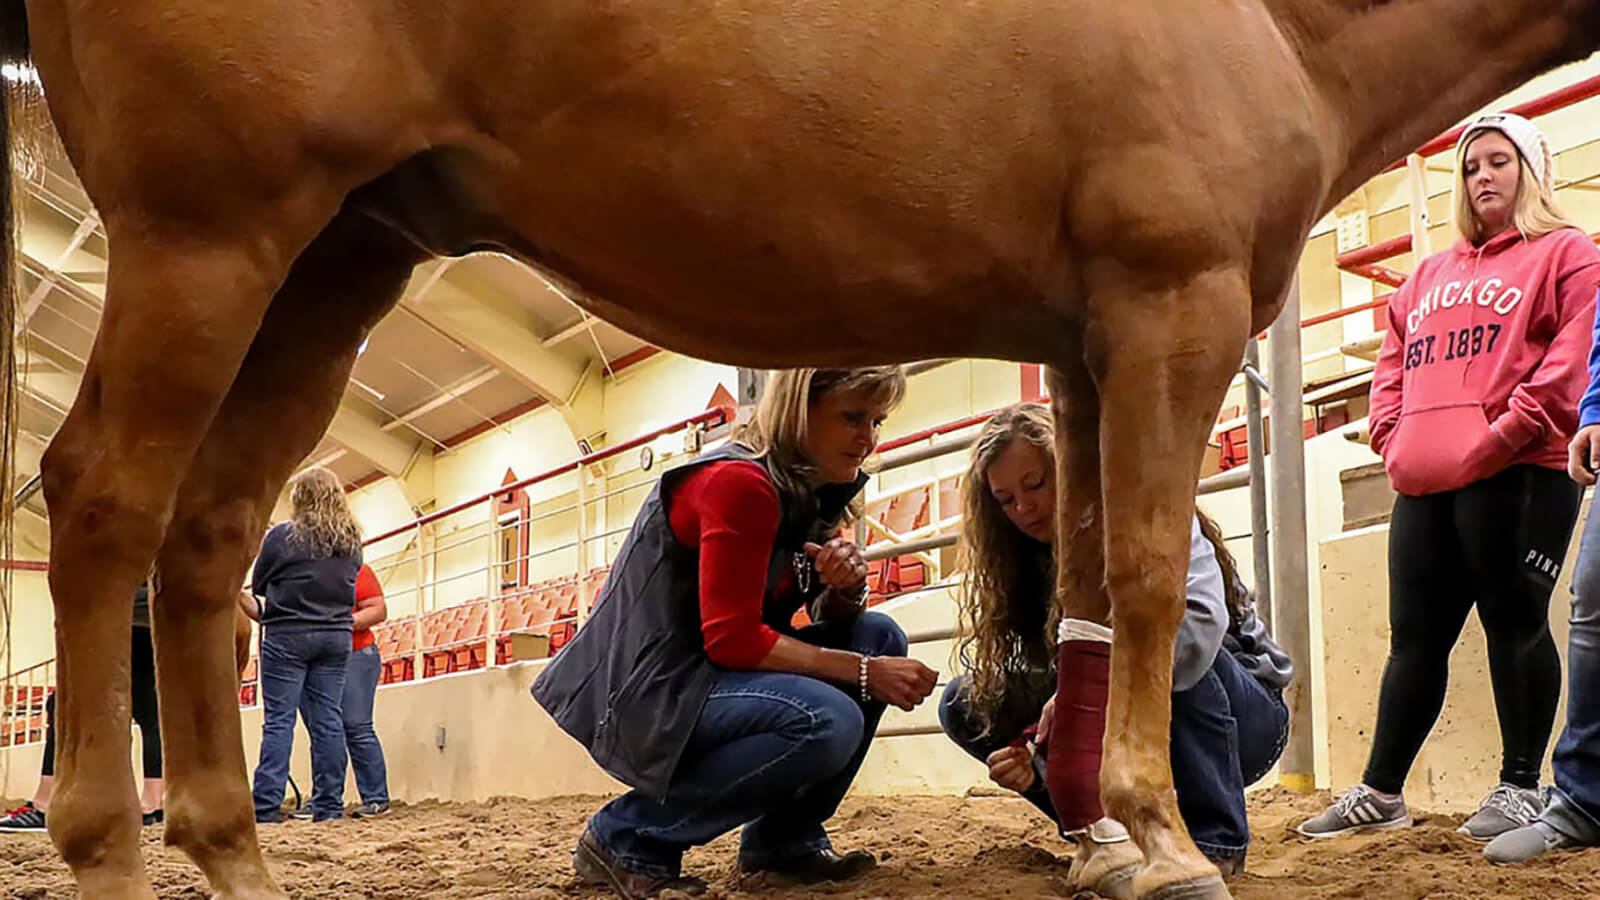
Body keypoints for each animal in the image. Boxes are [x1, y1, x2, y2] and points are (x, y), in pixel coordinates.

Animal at [0, 1, 1593, 896]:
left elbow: (1084, 593)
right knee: (104, 500)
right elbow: (1146, 574)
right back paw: (109, 853)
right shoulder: (1171, 304)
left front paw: (1108, 838)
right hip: (211, 231)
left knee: (206, 541)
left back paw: (237, 860)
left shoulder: (1088, 341)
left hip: (333, 256)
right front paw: (1166, 844)